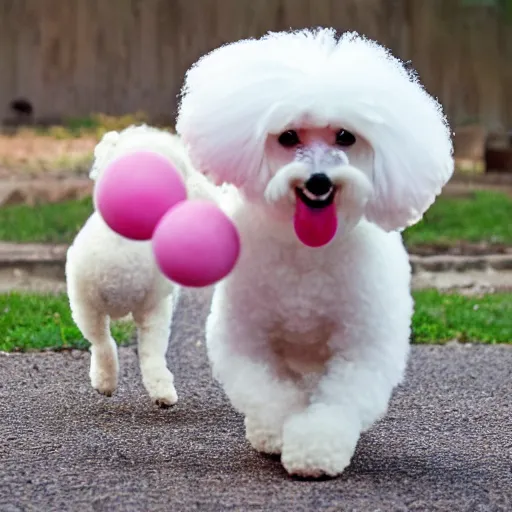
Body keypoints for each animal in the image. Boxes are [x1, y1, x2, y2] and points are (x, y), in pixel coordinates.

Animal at [65, 125, 218, 408]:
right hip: (146, 307)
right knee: (142, 351)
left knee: (101, 342)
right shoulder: (156, 305)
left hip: (84, 305)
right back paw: (157, 390)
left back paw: (105, 380)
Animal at [175, 27, 452, 476]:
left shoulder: (362, 345)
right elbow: (268, 393)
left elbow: (338, 403)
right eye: (288, 137)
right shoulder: (244, 338)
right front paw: (278, 431)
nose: (319, 181)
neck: (306, 250)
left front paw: (315, 449)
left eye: (346, 136)